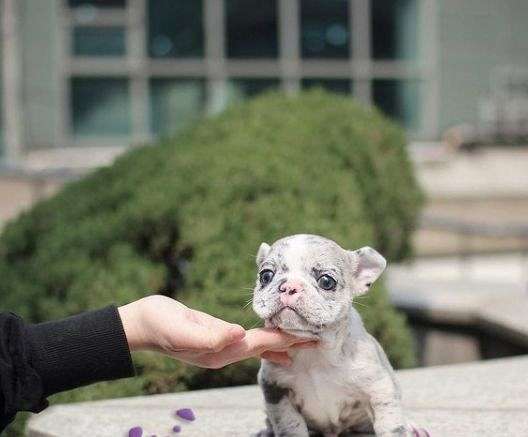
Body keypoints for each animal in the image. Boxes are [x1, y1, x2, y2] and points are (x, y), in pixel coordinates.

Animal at [253, 235, 428, 436]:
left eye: (326, 281)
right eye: (265, 276)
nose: (290, 286)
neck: (315, 351)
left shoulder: (380, 388)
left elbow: (390, 423)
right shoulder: (275, 389)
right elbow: (290, 424)